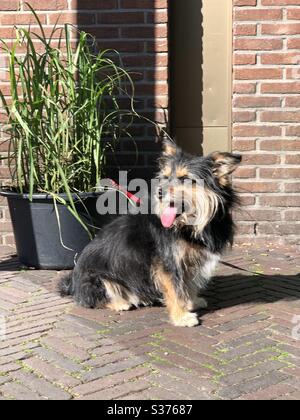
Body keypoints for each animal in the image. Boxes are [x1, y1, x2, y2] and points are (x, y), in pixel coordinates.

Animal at [59, 141, 241, 328]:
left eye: (185, 178)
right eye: (166, 177)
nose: (159, 192)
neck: (188, 225)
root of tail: (72, 285)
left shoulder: (188, 260)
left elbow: (187, 284)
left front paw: (191, 302)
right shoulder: (167, 262)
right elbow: (175, 289)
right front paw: (181, 316)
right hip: (97, 279)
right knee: (92, 299)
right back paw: (121, 303)